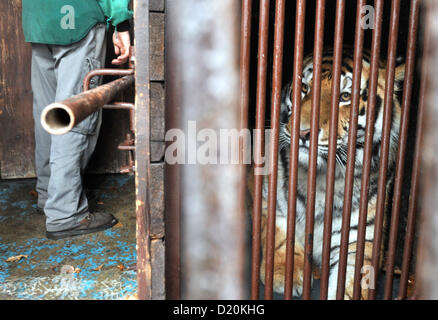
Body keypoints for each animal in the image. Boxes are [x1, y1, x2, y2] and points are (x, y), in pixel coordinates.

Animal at [252, 48, 406, 300]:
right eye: (305, 88)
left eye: (344, 96)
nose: (303, 132)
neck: (321, 180)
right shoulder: (272, 204)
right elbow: (279, 236)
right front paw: (283, 273)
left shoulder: (359, 239)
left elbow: (350, 283)